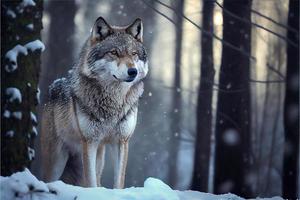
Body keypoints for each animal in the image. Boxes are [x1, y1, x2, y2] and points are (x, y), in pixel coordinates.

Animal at [40, 16, 148, 188]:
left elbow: (118, 181)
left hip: (99, 157)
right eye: (114, 52)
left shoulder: (121, 142)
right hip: (57, 161)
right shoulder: (90, 142)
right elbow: (90, 182)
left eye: (134, 54)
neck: (113, 101)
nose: (133, 71)